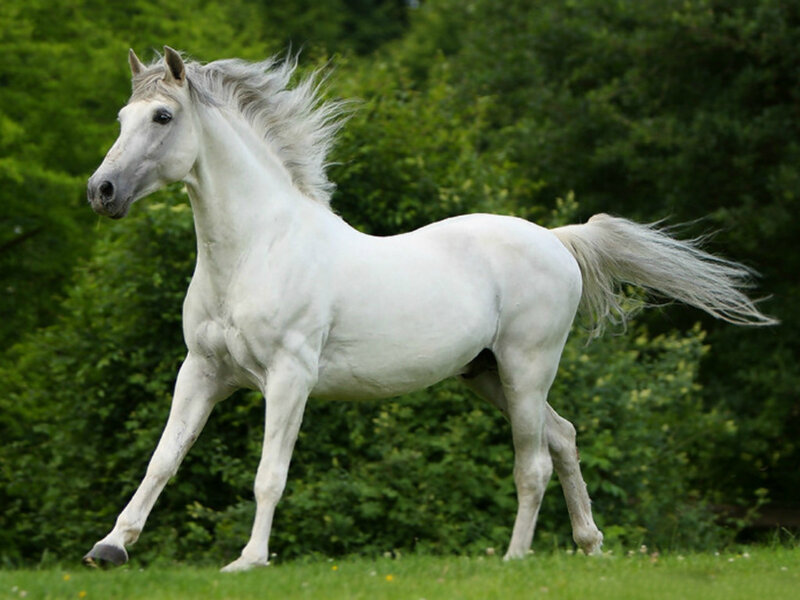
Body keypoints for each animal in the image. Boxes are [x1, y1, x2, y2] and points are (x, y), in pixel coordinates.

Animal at [84, 47, 775, 572]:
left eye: (163, 116)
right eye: (122, 116)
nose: (101, 191)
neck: (258, 248)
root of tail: (557, 240)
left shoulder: (288, 378)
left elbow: (268, 474)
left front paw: (249, 561)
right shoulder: (202, 371)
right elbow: (163, 460)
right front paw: (110, 548)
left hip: (526, 370)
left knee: (533, 462)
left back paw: (515, 560)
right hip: (486, 375)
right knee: (565, 437)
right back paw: (590, 546)